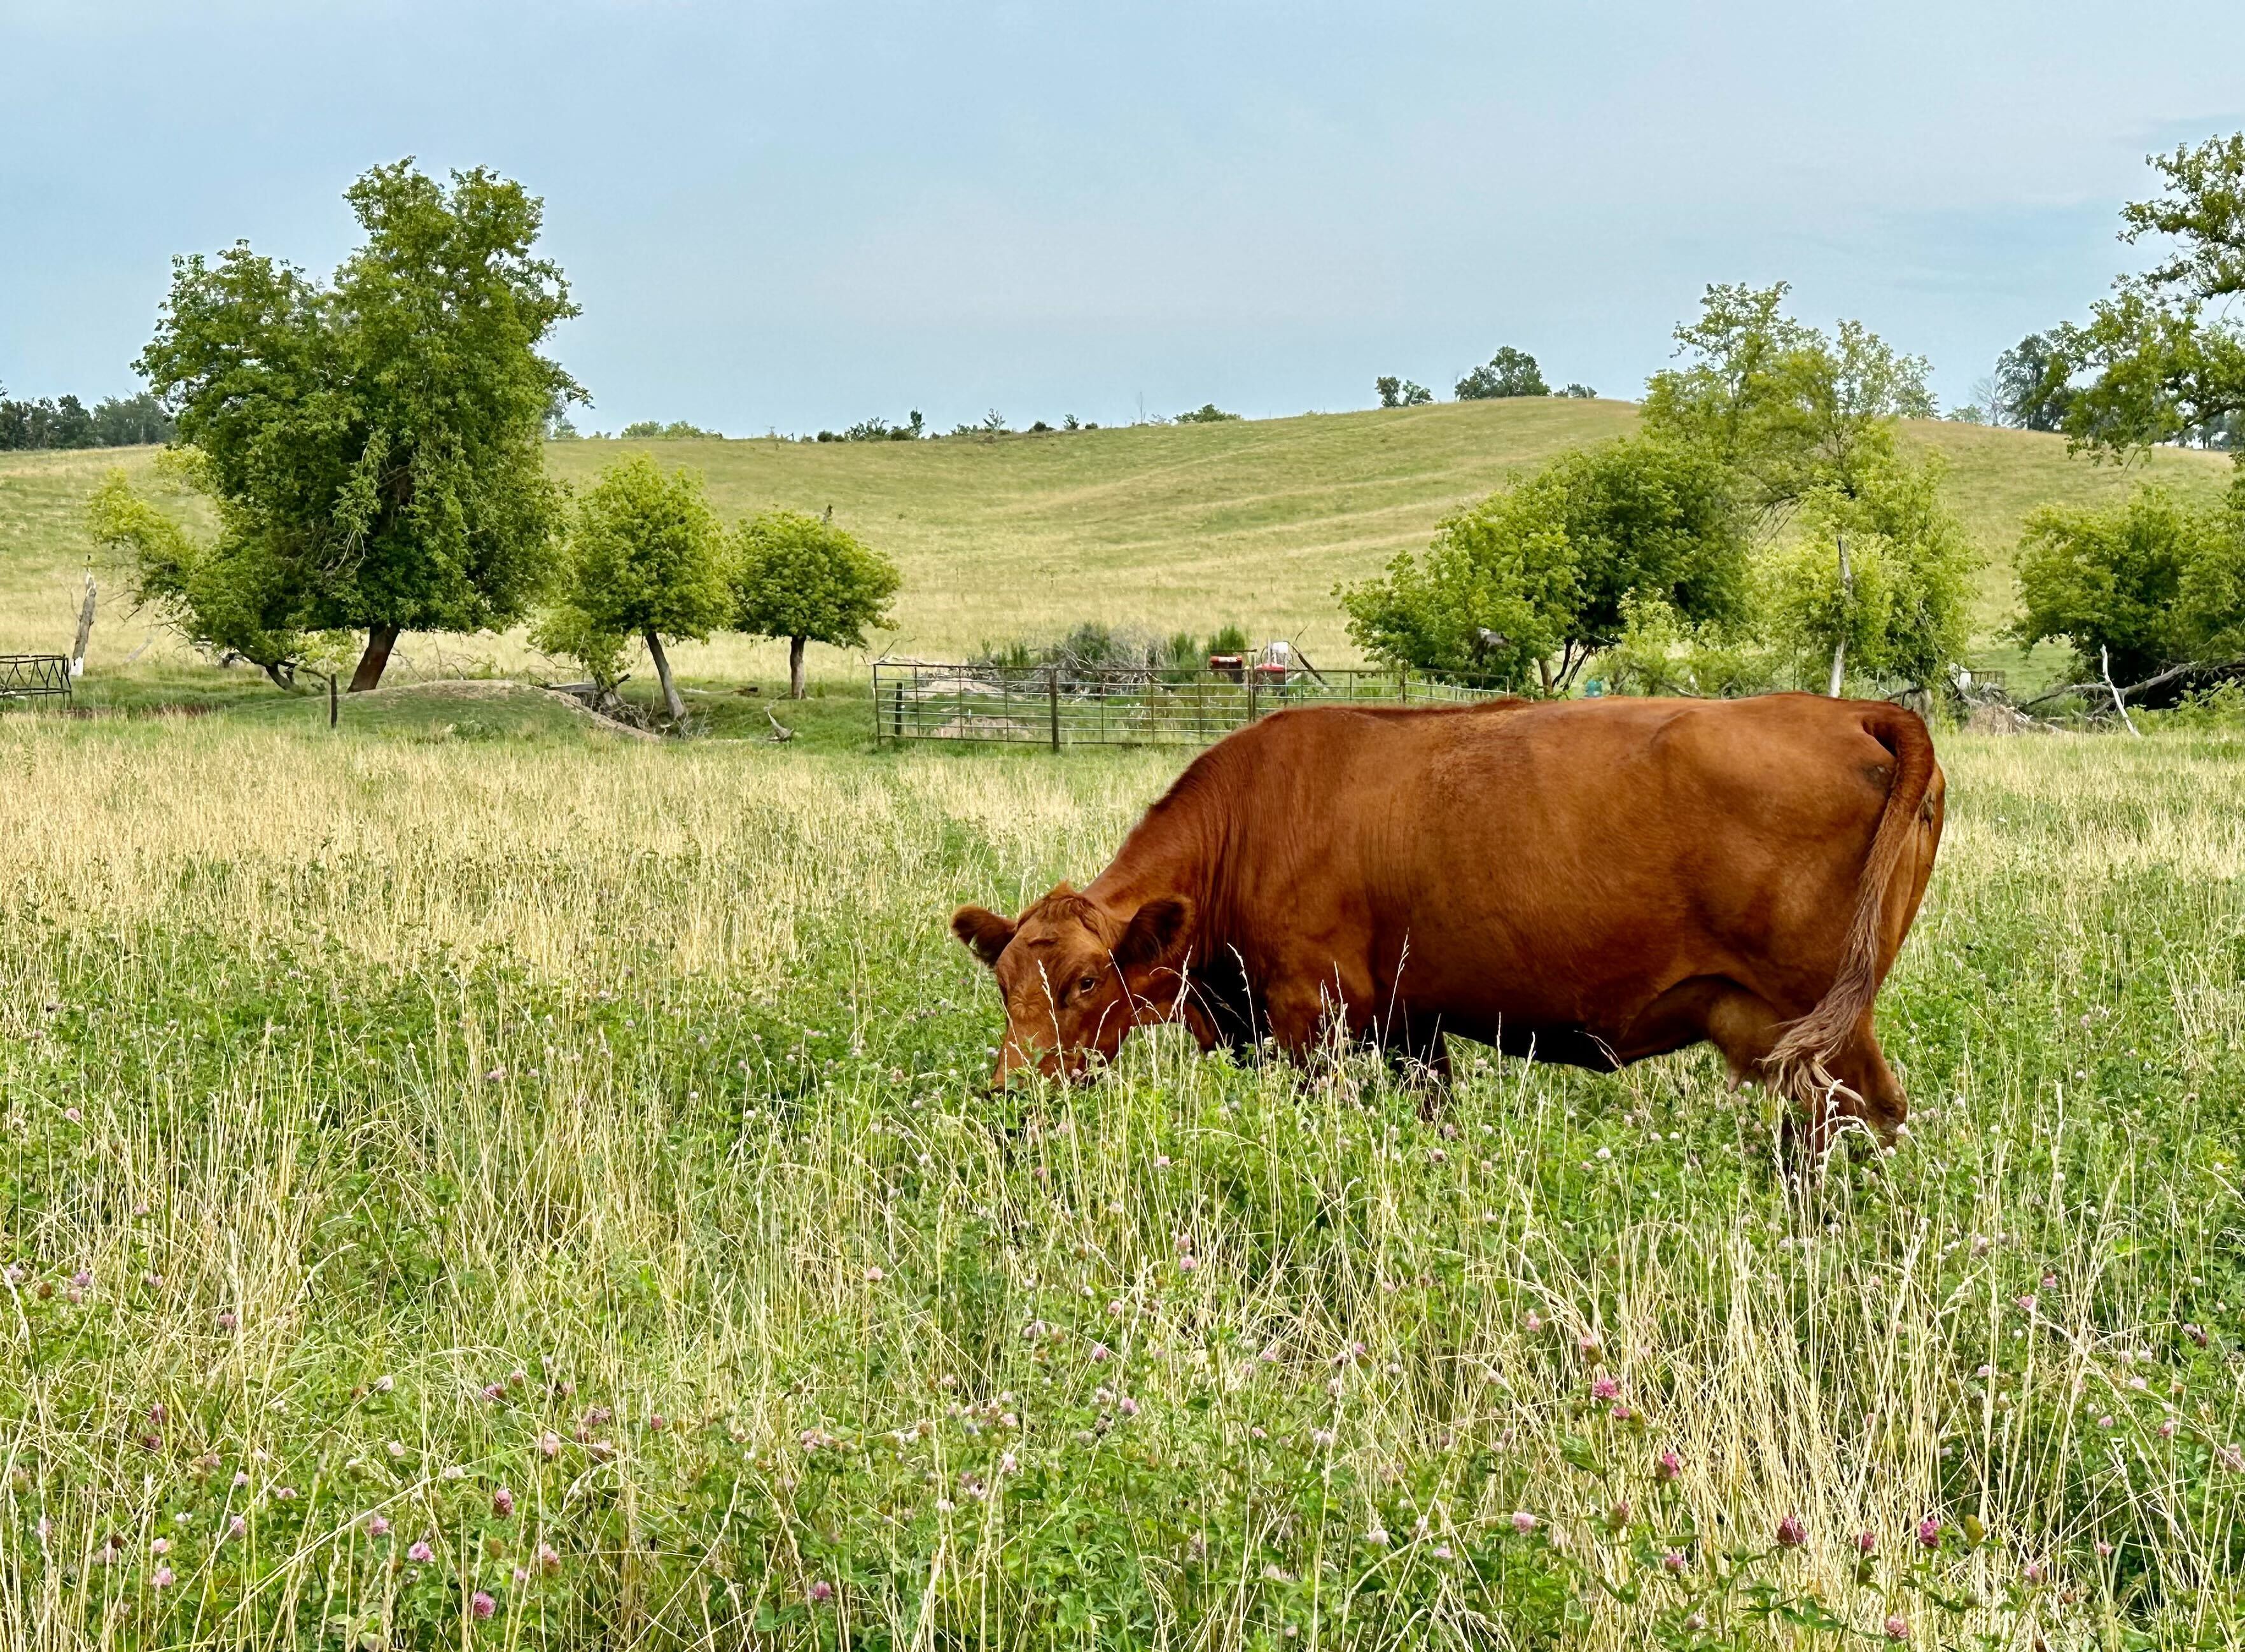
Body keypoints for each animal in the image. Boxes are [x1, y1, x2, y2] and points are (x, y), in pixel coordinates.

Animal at [950, 693, 1944, 1145]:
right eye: (1002, 982)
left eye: (1086, 981)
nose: (1010, 1093)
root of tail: (1853, 710)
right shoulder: (1411, 1027)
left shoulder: (1309, 1018)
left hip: (1824, 1025)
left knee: (1865, 1118)